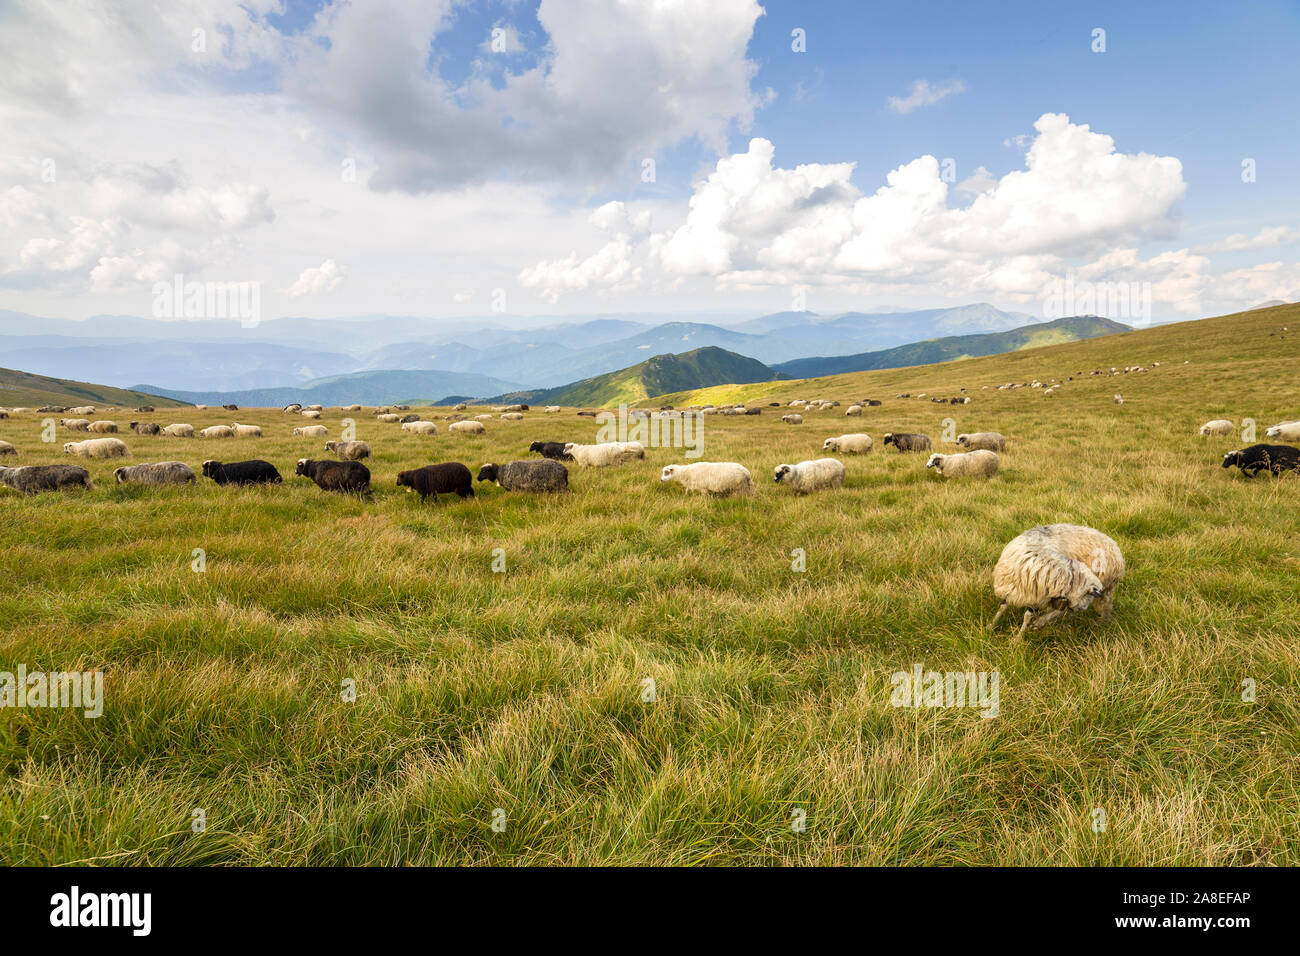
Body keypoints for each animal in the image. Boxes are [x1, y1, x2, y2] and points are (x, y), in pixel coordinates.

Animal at [991, 524, 1125, 639]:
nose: (1080, 610)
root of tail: (1117, 551)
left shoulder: (1038, 598)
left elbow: (1027, 617)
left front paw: (1017, 639)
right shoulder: (1012, 588)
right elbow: (1002, 607)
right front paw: (991, 626)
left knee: (1060, 610)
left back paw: (1040, 622)